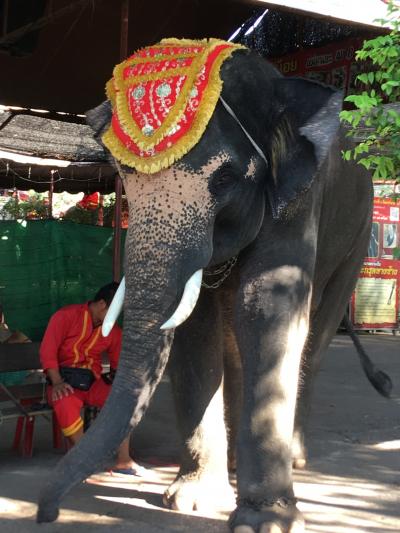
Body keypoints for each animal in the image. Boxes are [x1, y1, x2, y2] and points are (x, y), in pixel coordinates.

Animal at [37, 38, 376, 532]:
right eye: (122, 174)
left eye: (225, 178)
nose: (49, 512)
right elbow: (197, 327)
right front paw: (190, 502)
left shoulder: (300, 201)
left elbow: (266, 309)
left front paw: (264, 522)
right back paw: (234, 465)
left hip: (357, 234)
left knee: (314, 340)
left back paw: (296, 460)